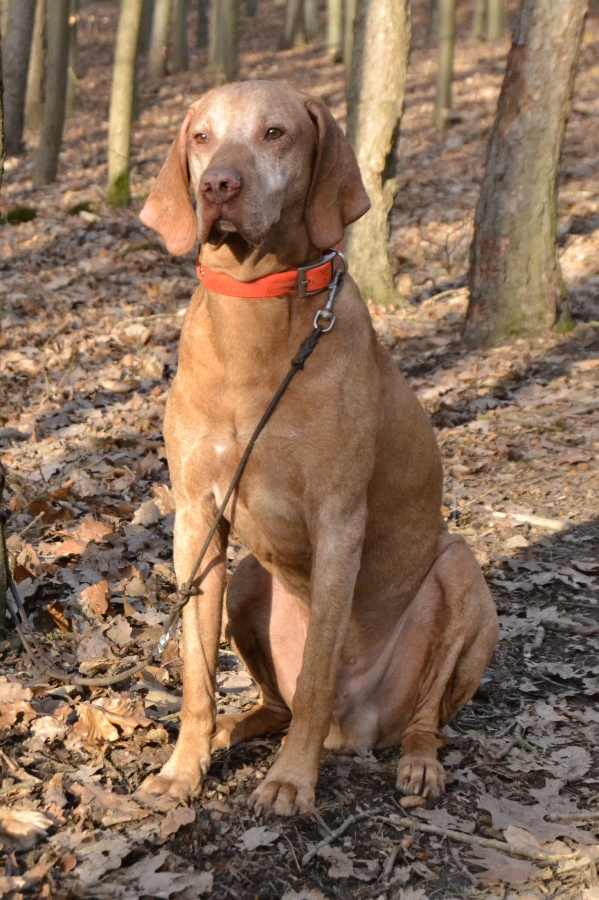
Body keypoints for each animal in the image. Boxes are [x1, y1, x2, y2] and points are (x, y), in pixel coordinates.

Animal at [138, 80, 499, 816]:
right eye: (201, 137)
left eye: (275, 132)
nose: (218, 185)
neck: (253, 316)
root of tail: (353, 728)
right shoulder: (194, 516)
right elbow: (196, 670)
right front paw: (185, 768)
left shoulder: (337, 522)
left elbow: (316, 673)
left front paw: (289, 781)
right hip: (251, 576)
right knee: (274, 701)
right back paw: (232, 730)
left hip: (462, 578)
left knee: (426, 719)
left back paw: (417, 764)